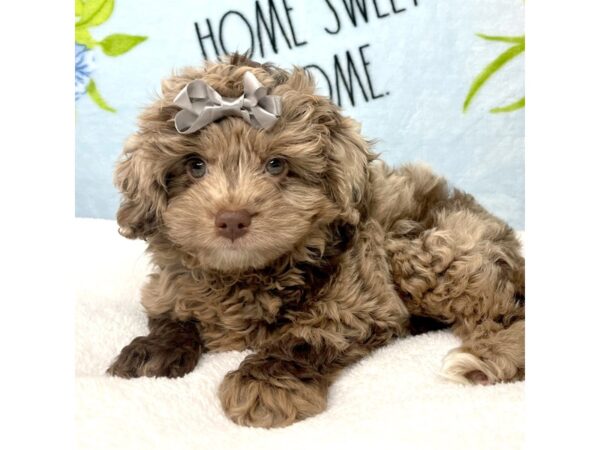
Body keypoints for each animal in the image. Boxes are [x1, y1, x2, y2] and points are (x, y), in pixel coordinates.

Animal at [108, 55, 524, 428]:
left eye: (276, 165)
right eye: (195, 165)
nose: (232, 219)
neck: (244, 274)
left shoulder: (359, 300)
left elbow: (307, 336)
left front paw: (264, 384)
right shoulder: (168, 287)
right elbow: (172, 316)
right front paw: (152, 351)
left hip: (431, 252)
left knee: (508, 313)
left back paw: (485, 362)